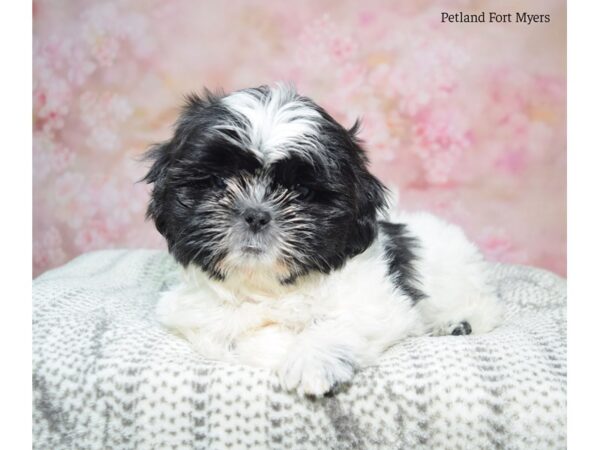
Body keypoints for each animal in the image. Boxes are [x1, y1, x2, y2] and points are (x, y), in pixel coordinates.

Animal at [143, 82, 504, 396]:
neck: (269, 288)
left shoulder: (378, 300)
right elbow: (242, 337)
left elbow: (342, 322)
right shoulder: (193, 315)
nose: (256, 214)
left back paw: (458, 323)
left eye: (301, 192)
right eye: (219, 183)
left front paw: (312, 361)